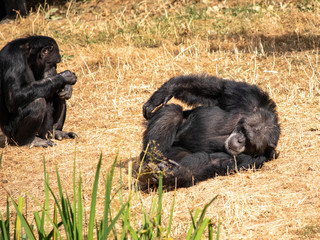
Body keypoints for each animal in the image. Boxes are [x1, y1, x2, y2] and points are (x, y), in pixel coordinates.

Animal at [138, 74, 280, 188]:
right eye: (244, 131)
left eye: (249, 142)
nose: (240, 140)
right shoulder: (248, 97)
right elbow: (219, 90)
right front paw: (165, 92)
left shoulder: (255, 160)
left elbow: (216, 162)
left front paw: (176, 174)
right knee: (172, 112)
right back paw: (148, 161)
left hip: (171, 155)